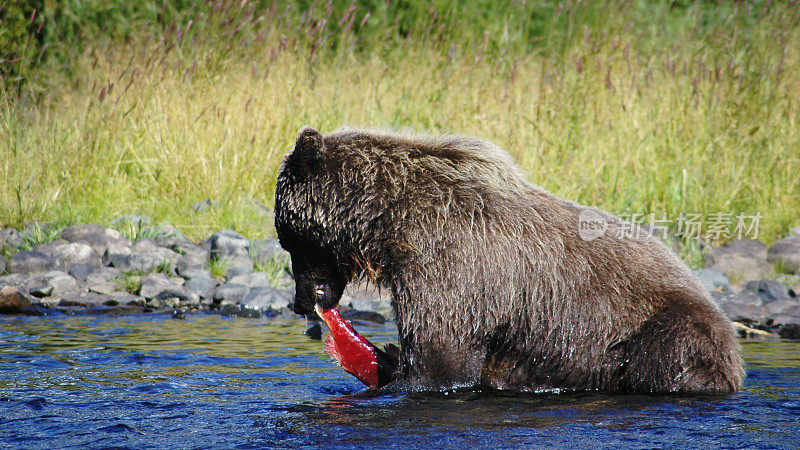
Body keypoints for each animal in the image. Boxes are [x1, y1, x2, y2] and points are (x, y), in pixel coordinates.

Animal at [276, 126, 744, 394]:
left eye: (289, 242)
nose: (301, 300)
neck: (388, 223)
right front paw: (387, 354)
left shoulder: (451, 265)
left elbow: (442, 358)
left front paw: (396, 370)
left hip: (657, 327)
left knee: (669, 355)